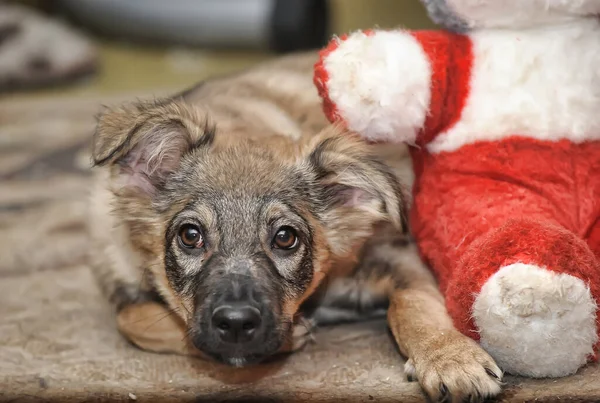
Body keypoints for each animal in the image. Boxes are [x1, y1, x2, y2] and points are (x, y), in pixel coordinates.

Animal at [88, 52, 502, 402]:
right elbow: (131, 318)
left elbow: (413, 305)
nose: (236, 324)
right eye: (191, 235)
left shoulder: (397, 254)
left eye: (285, 238)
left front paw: (450, 359)